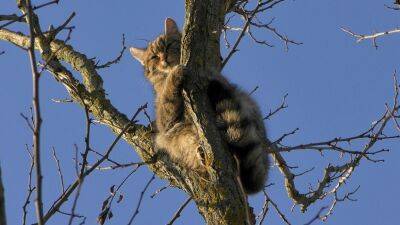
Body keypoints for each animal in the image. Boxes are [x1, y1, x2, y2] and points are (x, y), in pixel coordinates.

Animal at [130, 18, 270, 193]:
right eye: (154, 56)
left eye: (168, 46)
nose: (164, 59)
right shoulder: (167, 121)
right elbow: (168, 95)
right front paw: (173, 75)